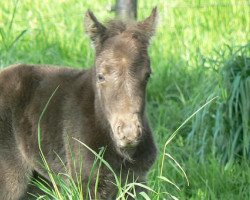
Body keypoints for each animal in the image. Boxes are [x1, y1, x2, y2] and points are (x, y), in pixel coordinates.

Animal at [0, 7, 156, 199]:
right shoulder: (85, 182)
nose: (129, 133)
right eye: (100, 76)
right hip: (10, 177)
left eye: (147, 75)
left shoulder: (137, 180)